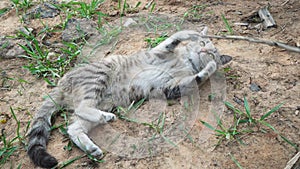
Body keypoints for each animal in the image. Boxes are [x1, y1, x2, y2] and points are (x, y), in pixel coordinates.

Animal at [27, 27, 232, 168]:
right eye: (203, 45)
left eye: (211, 52)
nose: (204, 51)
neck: (186, 61)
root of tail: (61, 84)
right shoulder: (159, 51)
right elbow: (175, 37)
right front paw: (191, 34)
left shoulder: (170, 88)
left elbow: (197, 77)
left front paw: (211, 66)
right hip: (99, 77)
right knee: (82, 109)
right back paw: (104, 119)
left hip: (99, 101)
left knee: (75, 126)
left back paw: (93, 142)